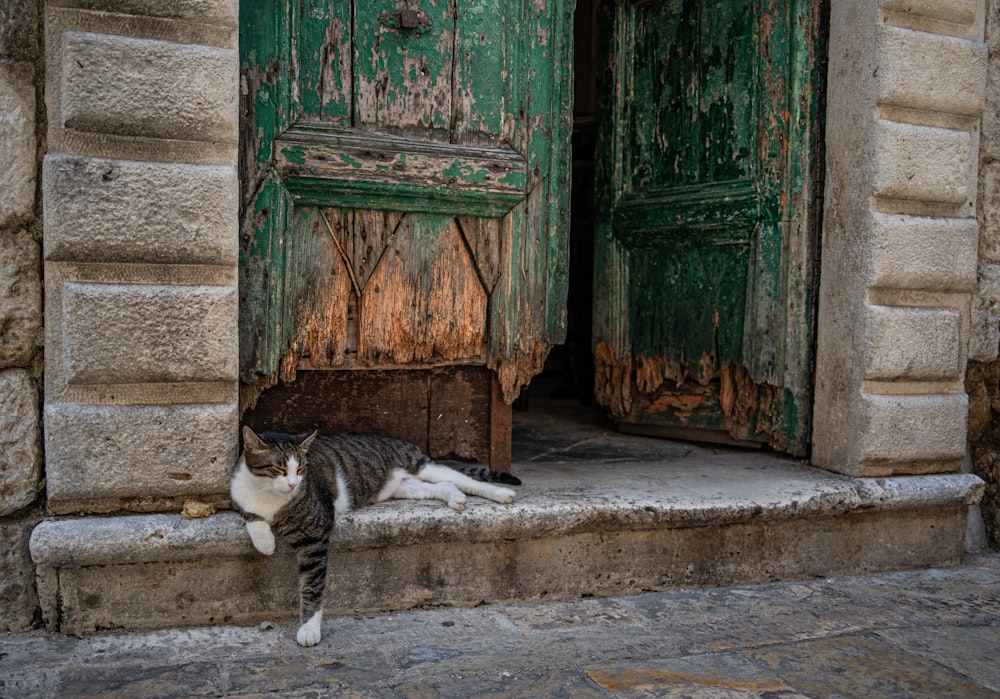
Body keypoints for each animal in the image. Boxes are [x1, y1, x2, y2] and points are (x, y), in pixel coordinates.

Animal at [229, 424, 520, 648]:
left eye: (301, 470)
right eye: (279, 469)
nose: (292, 484)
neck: (269, 497)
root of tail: (396, 440)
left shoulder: (316, 533)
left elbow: (312, 586)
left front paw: (309, 629)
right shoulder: (235, 496)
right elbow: (251, 515)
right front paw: (265, 542)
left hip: (421, 466)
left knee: (464, 480)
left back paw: (500, 494)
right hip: (406, 487)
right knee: (444, 485)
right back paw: (456, 499)